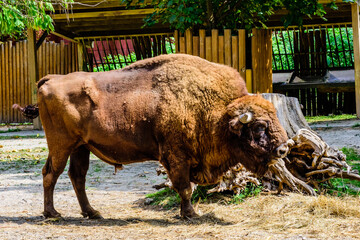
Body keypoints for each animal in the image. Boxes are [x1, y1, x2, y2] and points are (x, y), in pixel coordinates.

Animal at [19, 53, 290, 218]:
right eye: (259, 126)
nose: (283, 148)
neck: (219, 113)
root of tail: (50, 80)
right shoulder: (177, 157)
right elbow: (184, 187)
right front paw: (190, 214)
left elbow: (186, 187)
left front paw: (188, 213)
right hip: (61, 145)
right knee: (51, 174)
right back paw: (52, 213)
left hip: (81, 147)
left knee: (77, 177)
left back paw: (92, 212)